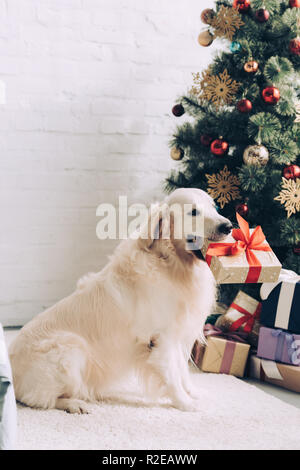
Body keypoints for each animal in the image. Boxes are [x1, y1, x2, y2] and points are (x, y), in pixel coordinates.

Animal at [8, 189, 230, 414]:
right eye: (193, 212)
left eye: (214, 207)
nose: (228, 226)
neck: (169, 262)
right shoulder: (161, 338)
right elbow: (172, 376)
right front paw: (185, 403)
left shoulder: (178, 335)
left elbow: (182, 370)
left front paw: (193, 393)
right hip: (72, 348)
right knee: (40, 400)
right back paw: (75, 403)